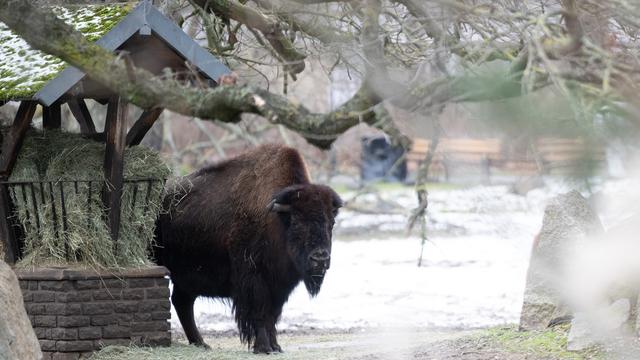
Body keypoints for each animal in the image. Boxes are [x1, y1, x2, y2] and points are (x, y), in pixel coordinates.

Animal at [153, 143, 342, 352]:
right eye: (297, 222)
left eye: (331, 222)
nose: (320, 259)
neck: (277, 220)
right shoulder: (254, 280)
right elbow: (259, 313)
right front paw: (264, 347)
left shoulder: (279, 286)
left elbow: (272, 316)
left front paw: (275, 346)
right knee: (182, 302)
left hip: (187, 278)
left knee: (182, 302)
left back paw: (201, 343)